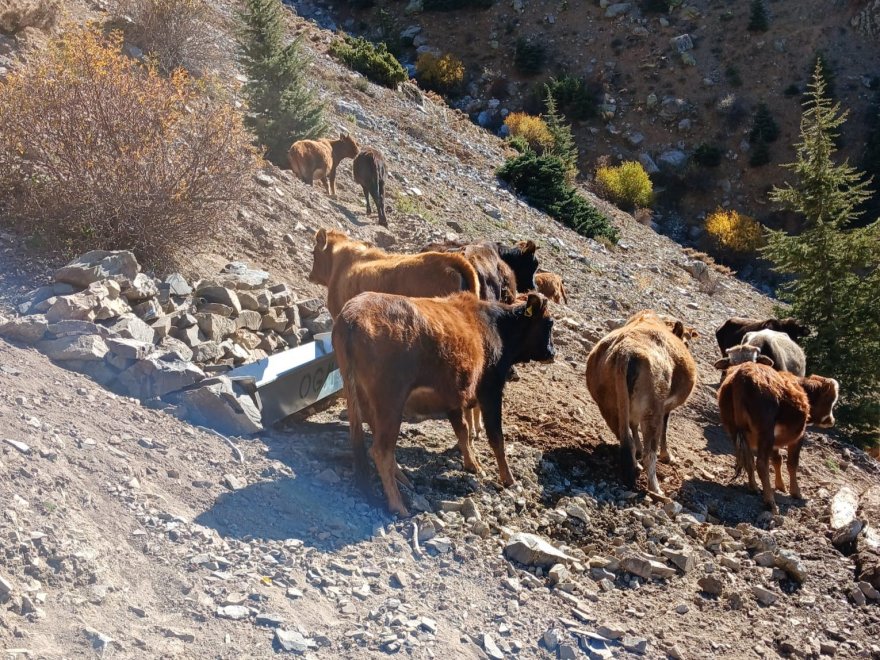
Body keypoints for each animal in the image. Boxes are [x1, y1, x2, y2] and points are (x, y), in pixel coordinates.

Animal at [334, 290, 552, 516]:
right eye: (549, 323)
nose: (551, 353)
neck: (496, 327)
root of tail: (352, 315)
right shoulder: (490, 391)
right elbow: (496, 437)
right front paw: (508, 479)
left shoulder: (452, 397)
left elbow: (463, 430)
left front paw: (473, 464)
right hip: (390, 403)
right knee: (381, 451)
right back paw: (398, 505)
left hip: (367, 401)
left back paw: (403, 480)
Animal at [588, 312, 696, 498]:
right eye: (686, 341)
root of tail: (624, 352)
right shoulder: (665, 408)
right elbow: (664, 431)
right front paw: (667, 456)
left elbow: (632, 425)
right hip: (652, 411)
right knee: (649, 453)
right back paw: (655, 488)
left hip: (609, 408)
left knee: (626, 439)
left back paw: (635, 463)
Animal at [716, 358, 840, 512]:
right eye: (831, 400)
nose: (832, 421)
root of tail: (742, 373)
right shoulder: (798, 436)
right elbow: (792, 463)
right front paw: (796, 492)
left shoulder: (774, 441)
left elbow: (777, 460)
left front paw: (780, 485)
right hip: (765, 431)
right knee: (761, 463)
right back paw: (770, 501)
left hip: (735, 430)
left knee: (749, 460)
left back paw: (754, 487)